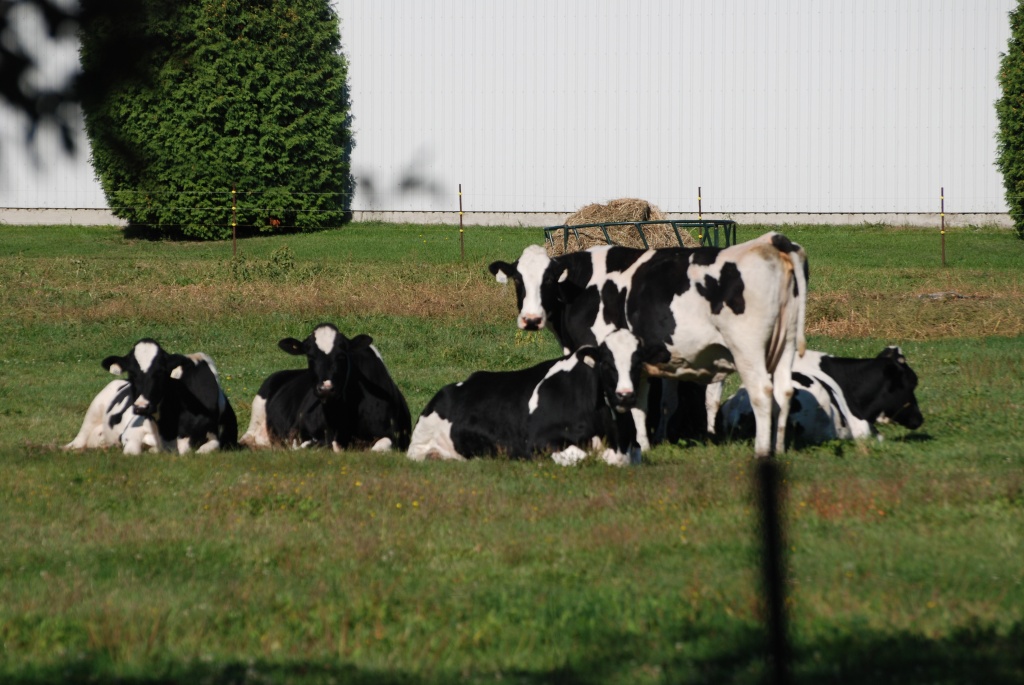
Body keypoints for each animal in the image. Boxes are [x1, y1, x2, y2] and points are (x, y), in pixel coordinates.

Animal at [65, 337, 237, 454]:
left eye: (160, 372)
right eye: (132, 373)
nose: (141, 407)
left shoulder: (215, 439)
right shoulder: (131, 431)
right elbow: (133, 451)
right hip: (93, 410)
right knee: (78, 441)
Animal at [403, 327, 659, 464]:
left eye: (638, 363)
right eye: (606, 363)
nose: (625, 395)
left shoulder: (633, 447)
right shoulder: (538, 442)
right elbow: (582, 456)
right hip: (419, 447)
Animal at [487, 232, 806, 456]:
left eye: (549, 280)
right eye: (518, 280)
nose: (531, 319)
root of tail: (771, 241)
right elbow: (641, 404)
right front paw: (644, 444)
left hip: (748, 349)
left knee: (762, 394)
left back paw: (762, 452)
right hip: (785, 345)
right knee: (784, 392)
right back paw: (778, 450)